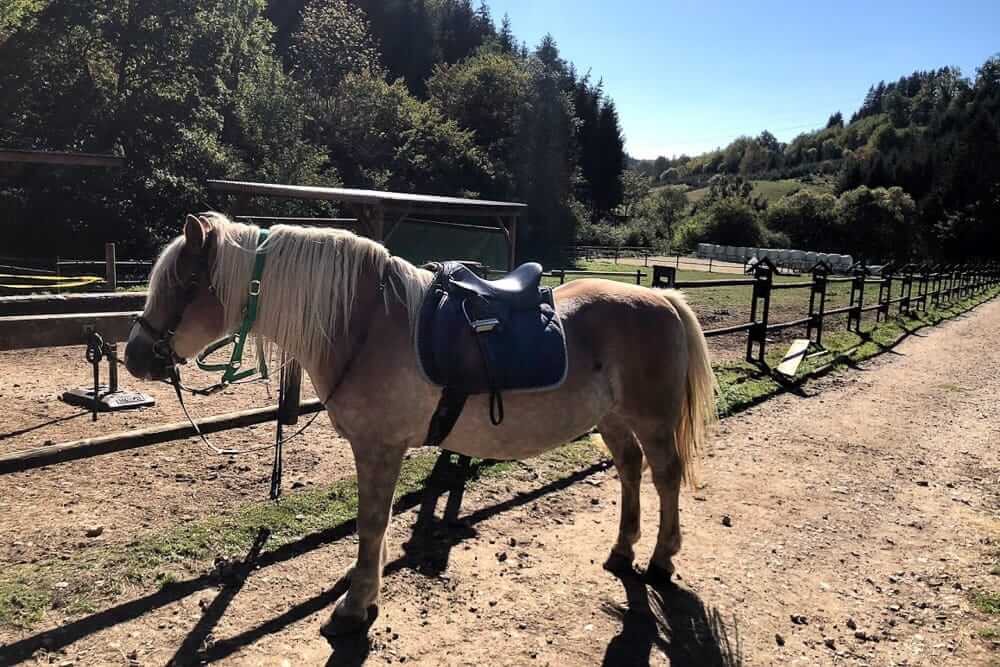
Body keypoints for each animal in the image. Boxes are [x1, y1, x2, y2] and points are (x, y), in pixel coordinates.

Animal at [125, 214, 716, 636]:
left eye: (185, 282)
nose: (133, 355)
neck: (363, 322)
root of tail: (662, 297)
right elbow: (376, 523)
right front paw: (366, 590)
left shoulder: (379, 448)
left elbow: (371, 523)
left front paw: (355, 606)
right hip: (613, 420)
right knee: (631, 472)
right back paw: (623, 551)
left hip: (652, 420)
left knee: (665, 477)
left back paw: (660, 560)